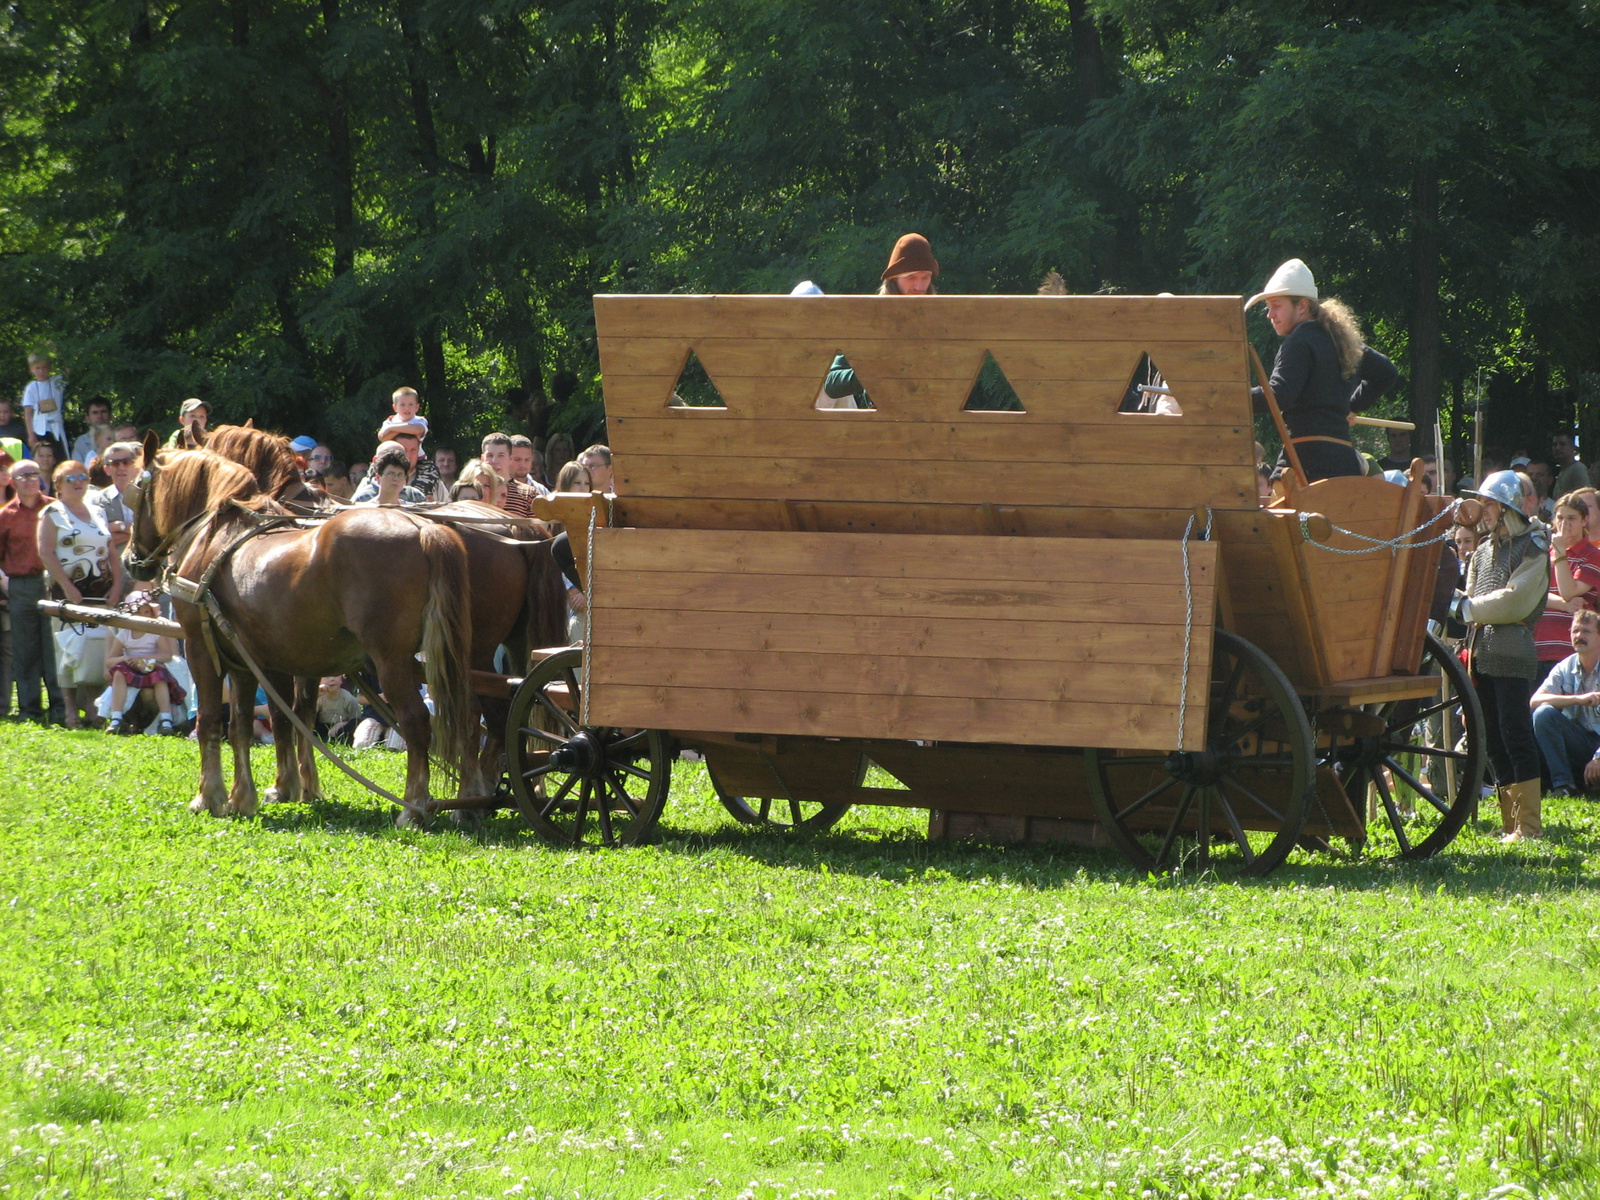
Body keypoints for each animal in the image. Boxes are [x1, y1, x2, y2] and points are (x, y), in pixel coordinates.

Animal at [124, 438, 473, 825]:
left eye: (135, 491)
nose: (131, 561)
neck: (217, 538)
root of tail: (423, 528)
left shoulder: (202, 650)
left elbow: (213, 720)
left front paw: (209, 797)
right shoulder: (250, 661)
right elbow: (248, 724)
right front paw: (246, 796)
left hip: (390, 660)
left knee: (416, 721)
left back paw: (413, 808)